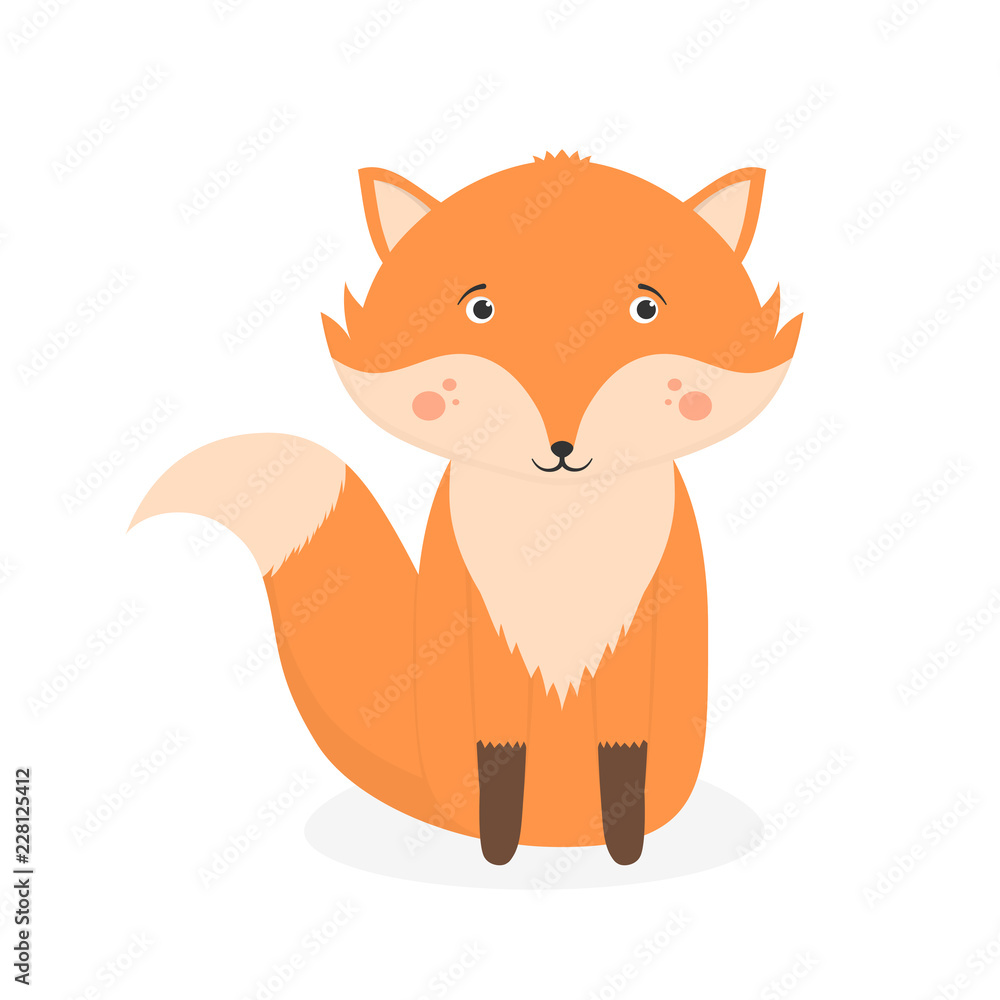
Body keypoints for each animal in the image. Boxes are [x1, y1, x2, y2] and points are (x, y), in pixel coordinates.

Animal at [131, 152, 802, 865]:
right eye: (480, 309)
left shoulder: (636, 636)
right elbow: (500, 758)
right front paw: (497, 852)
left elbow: (624, 759)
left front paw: (625, 849)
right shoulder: (484, 636)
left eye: (646, 308)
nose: (562, 445)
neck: (556, 535)